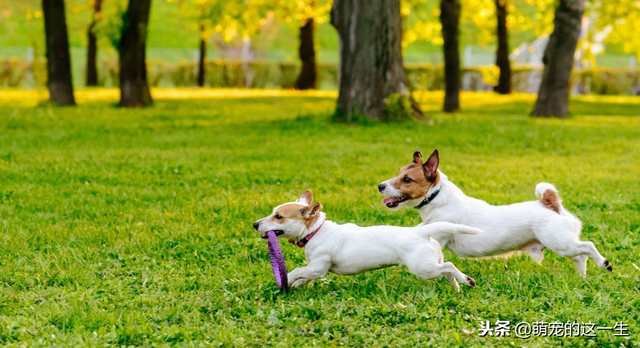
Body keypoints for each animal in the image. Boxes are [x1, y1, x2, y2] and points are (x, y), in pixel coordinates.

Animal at [252, 190, 482, 290]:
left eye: (278, 217)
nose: (255, 224)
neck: (316, 231)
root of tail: (421, 233)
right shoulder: (315, 270)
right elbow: (304, 276)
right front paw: (295, 286)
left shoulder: (318, 267)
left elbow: (298, 271)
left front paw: (287, 279)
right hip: (432, 263)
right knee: (446, 269)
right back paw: (457, 287)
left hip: (423, 268)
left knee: (449, 266)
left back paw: (466, 281)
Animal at [378, 150, 612, 278]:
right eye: (398, 173)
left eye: (407, 179)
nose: (380, 186)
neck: (437, 197)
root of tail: (549, 203)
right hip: (564, 245)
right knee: (580, 256)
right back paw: (582, 277)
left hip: (560, 242)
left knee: (588, 247)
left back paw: (604, 264)